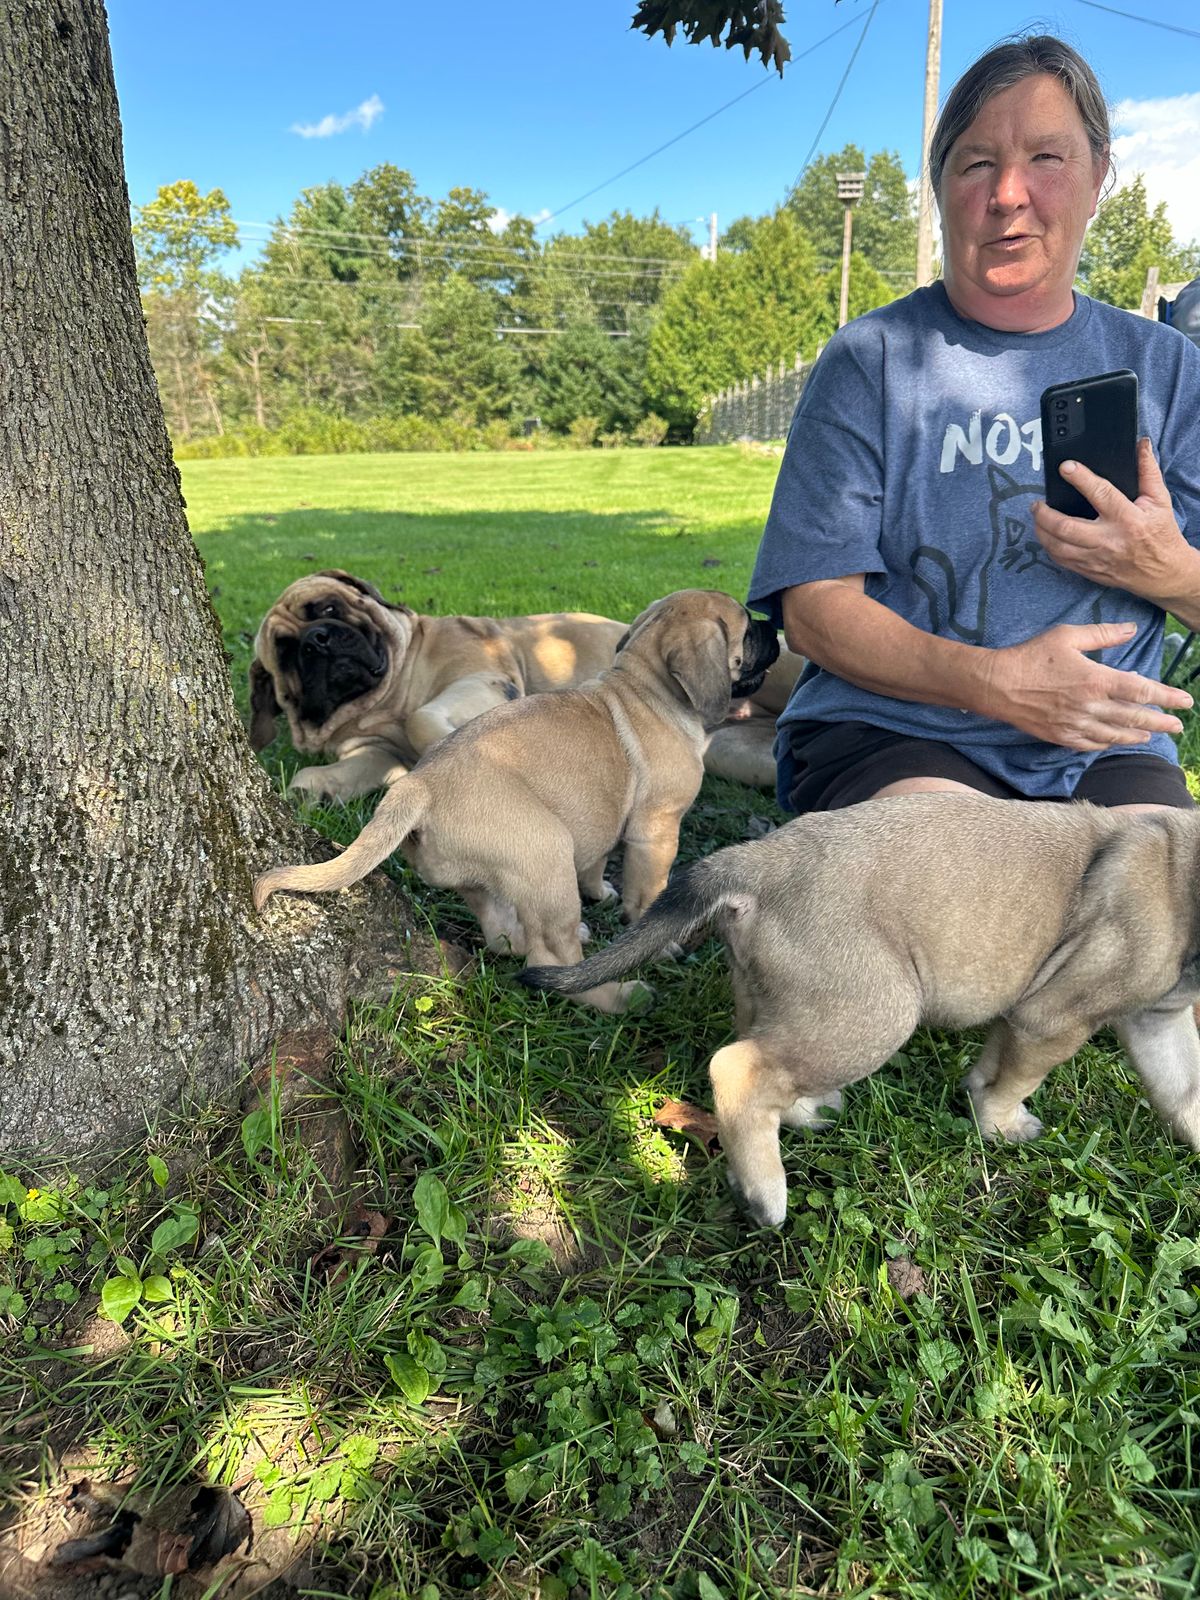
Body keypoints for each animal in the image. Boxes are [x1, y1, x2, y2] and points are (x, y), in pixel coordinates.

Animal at [249, 570, 802, 797]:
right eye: (284, 650)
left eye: (326, 608)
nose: (315, 641)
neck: (390, 693)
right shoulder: (372, 748)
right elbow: (353, 767)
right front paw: (316, 786)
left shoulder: (484, 676)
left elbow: (425, 719)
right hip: (737, 755)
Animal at [254, 590, 781, 1013]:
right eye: (745, 627)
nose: (771, 627)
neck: (646, 686)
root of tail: (416, 787)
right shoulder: (657, 831)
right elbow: (649, 895)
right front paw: (659, 941)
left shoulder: (603, 816)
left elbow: (598, 860)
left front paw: (600, 892)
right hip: (547, 853)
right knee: (550, 957)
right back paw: (618, 996)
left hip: (487, 876)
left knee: (503, 933)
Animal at [521, 793, 1200, 1224]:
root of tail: (756, 861)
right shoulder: (1052, 1021)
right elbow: (1013, 1079)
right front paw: (1001, 1125)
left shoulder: (1159, 1021)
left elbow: (1183, 1087)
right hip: (877, 1012)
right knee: (738, 1069)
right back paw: (765, 1194)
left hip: (783, 1000)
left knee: (762, 1059)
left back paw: (802, 1116)